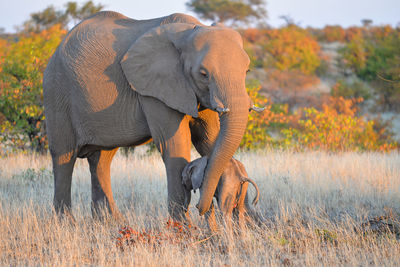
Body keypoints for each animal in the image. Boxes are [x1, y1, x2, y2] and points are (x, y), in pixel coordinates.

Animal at [43, 11, 256, 222]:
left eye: (247, 71)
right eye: (203, 74)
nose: (200, 207)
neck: (188, 31)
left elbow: (209, 139)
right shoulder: (155, 89)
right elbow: (174, 145)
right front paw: (182, 228)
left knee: (101, 159)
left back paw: (110, 222)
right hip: (57, 92)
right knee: (64, 156)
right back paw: (66, 223)